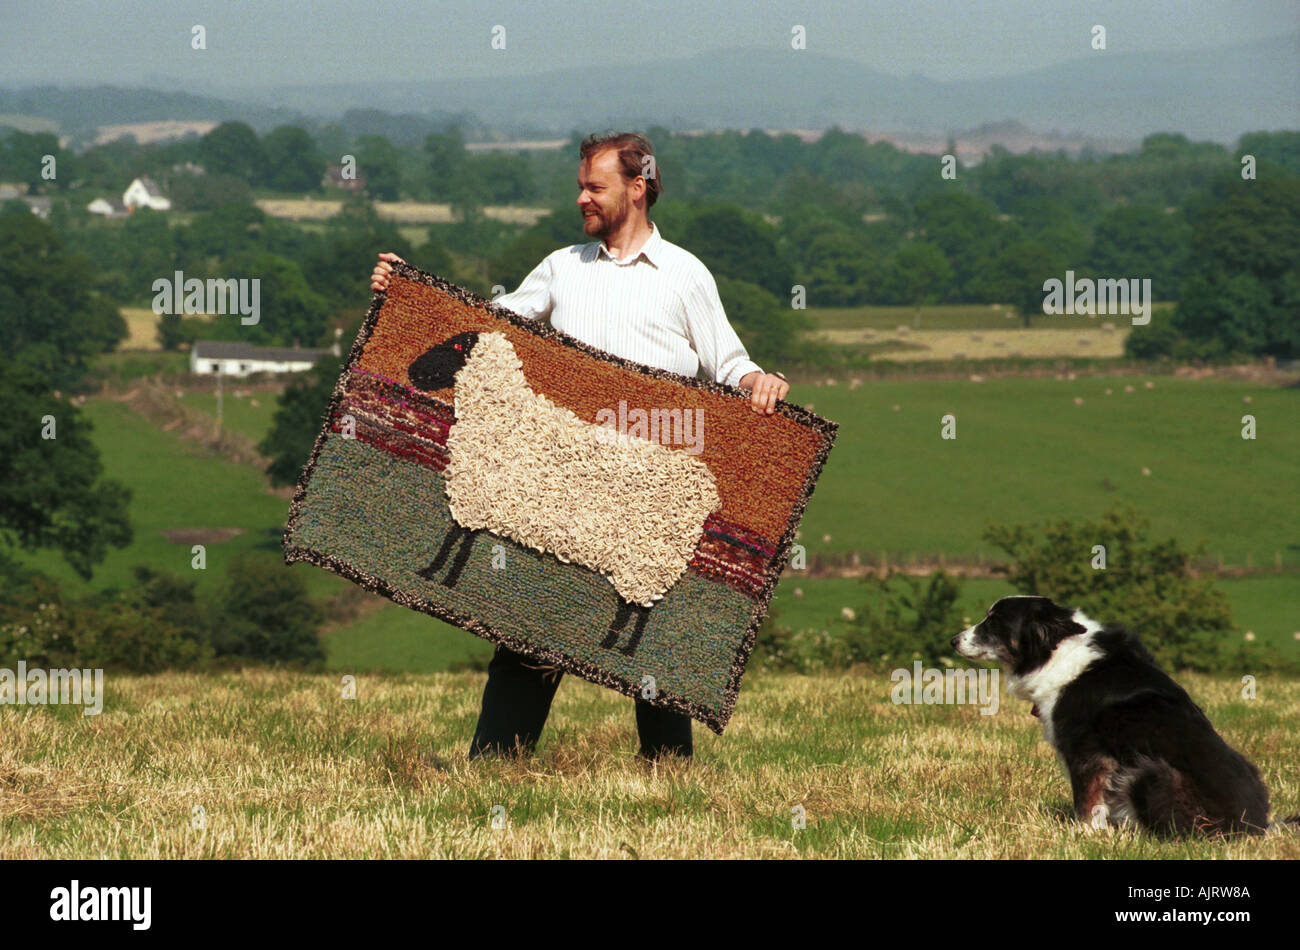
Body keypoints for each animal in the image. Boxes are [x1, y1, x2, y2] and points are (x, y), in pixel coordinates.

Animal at [408, 335, 722, 654]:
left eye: (457, 347)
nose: (413, 373)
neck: (502, 413)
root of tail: (707, 492)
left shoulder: (473, 501)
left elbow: (454, 542)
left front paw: (434, 574)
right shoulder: (476, 504)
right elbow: (461, 544)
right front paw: (441, 577)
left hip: (647, 560)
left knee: (640, 610)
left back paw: (616, 648)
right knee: (638, 608)